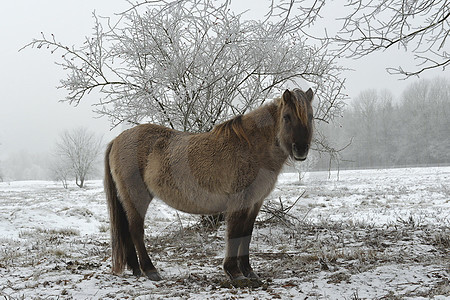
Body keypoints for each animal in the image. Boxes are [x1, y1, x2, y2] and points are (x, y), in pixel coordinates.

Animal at [104, 88, 314, 286]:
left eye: (310, 116)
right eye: (287, 117)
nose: (301, 149)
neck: (252, 147)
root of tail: (118, 139)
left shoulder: (254, 203)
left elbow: (246, 234)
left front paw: (248, 271)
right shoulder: (238, 202)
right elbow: (235, 233)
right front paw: (234, 272)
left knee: (127, 231)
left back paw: (136, 269)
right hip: (137, 197)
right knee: (136, 230)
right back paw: (150, 270)